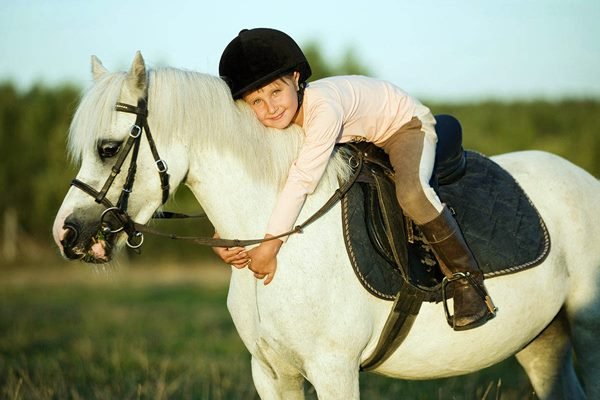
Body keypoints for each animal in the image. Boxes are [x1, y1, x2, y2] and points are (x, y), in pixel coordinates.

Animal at [52, 52, 600, 396]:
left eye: (108, 148)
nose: (68, 235)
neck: (284, 238)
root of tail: (583, 179)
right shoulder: (271, 373)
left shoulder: (335, 370)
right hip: (540, 340)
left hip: (587, 329)